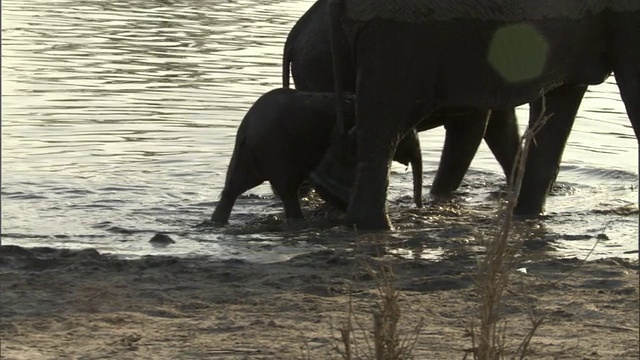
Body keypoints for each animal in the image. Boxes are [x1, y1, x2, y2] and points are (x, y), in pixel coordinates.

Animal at [211, 87, 424, 224]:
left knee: (233, 187)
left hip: (246, 153)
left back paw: (216, 222)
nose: (418, 207)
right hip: (276, 151)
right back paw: (299, 221)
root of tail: (247, 130)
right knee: (287, 190)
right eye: (406, 137)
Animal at [316, 0, 640, 231]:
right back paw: (374, 226)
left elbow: (559, 101)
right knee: (387, 123)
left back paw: (334, 191)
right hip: (399, 36)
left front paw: (526, 218)